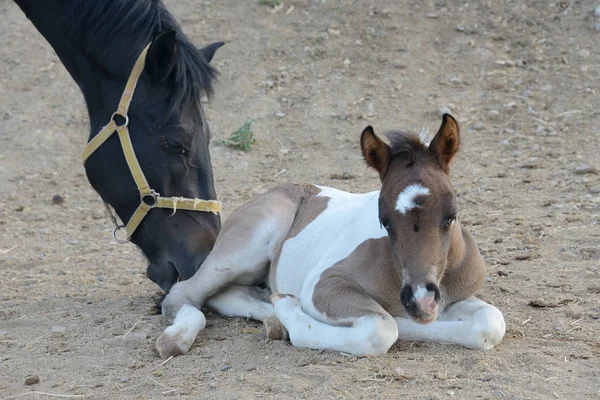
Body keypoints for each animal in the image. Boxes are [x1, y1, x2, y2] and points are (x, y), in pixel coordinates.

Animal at [157, 114, 504, 358]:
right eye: (384, 221)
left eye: (451, 216)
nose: (421, 300)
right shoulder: (324, 285)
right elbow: (380, 330)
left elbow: (491, 322)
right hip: (246, 248)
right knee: (185, 292)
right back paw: (177, 338)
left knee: (229, 294)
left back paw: (273, 320)